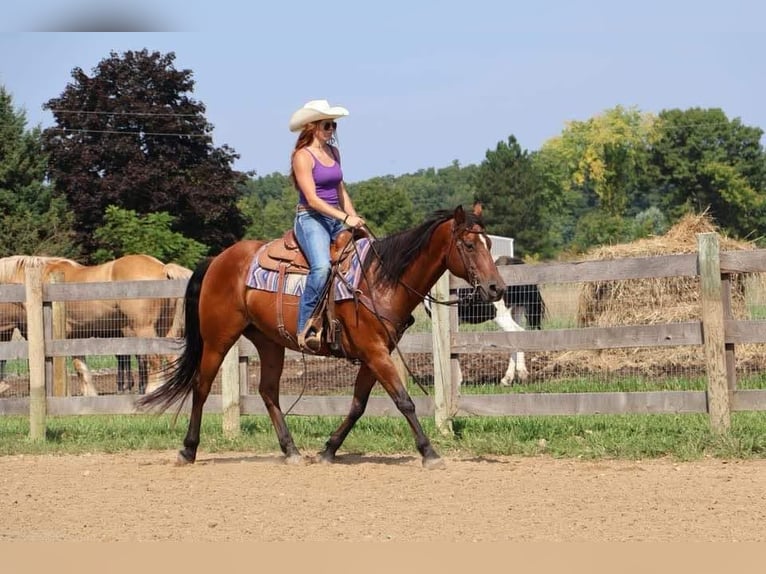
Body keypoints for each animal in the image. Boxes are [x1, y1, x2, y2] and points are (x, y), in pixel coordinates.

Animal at [0, 254, 192, 395]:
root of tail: (162, 268)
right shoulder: (75, 337)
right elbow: (80, 367)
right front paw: (89, 396)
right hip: (164, 328)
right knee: (170, 357)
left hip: (144, 329)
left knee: (154, 358)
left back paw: (151, 391)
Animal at [137, 205, 505, 469]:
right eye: (469, 244)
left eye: (489, 243)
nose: (496, 288)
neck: (380, 279)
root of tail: (217, 260)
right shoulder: (375, 352)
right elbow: (404, 401)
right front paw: (429, 452)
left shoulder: (375, 354)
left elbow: (357, 405)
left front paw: (329, 450)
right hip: (218, 338)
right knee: (201, 387)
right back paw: (188, 450)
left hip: (269, 343)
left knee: (268, 392)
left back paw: (291, 451)